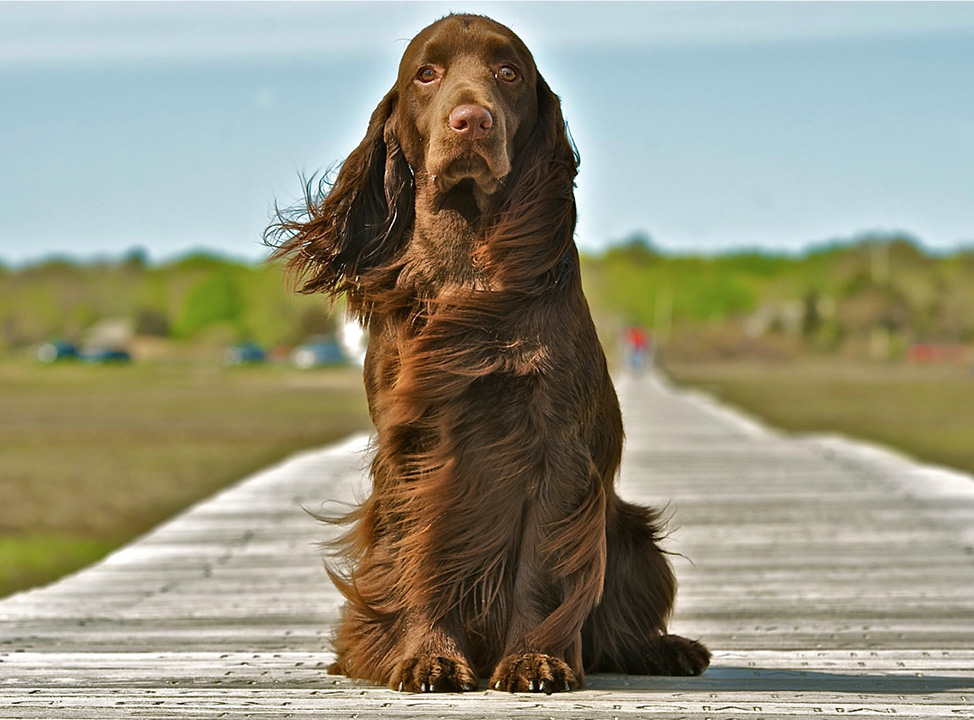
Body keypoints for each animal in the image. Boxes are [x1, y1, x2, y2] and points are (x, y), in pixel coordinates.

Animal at [266, 14, 708, 696]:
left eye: (509, 73)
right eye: (427, 73)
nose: (471, 120)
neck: (467, 261)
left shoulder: (555, 447)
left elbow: (540, 568)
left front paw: (533, 660)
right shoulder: (417, 448)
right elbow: (423, 555)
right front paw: (427, 658)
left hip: (634, 539)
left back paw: (668, 649)